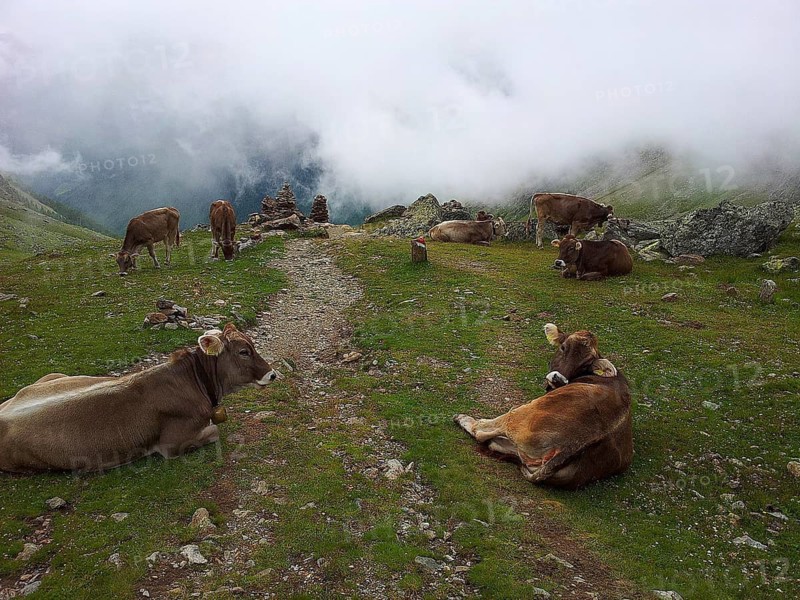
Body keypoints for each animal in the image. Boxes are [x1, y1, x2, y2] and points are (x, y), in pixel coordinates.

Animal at [455, 323, 632, 489]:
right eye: (563, 347)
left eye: (585, 365)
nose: (559, 379)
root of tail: (576, 444)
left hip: (521, 416)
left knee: (481, 431)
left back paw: (464, 418)